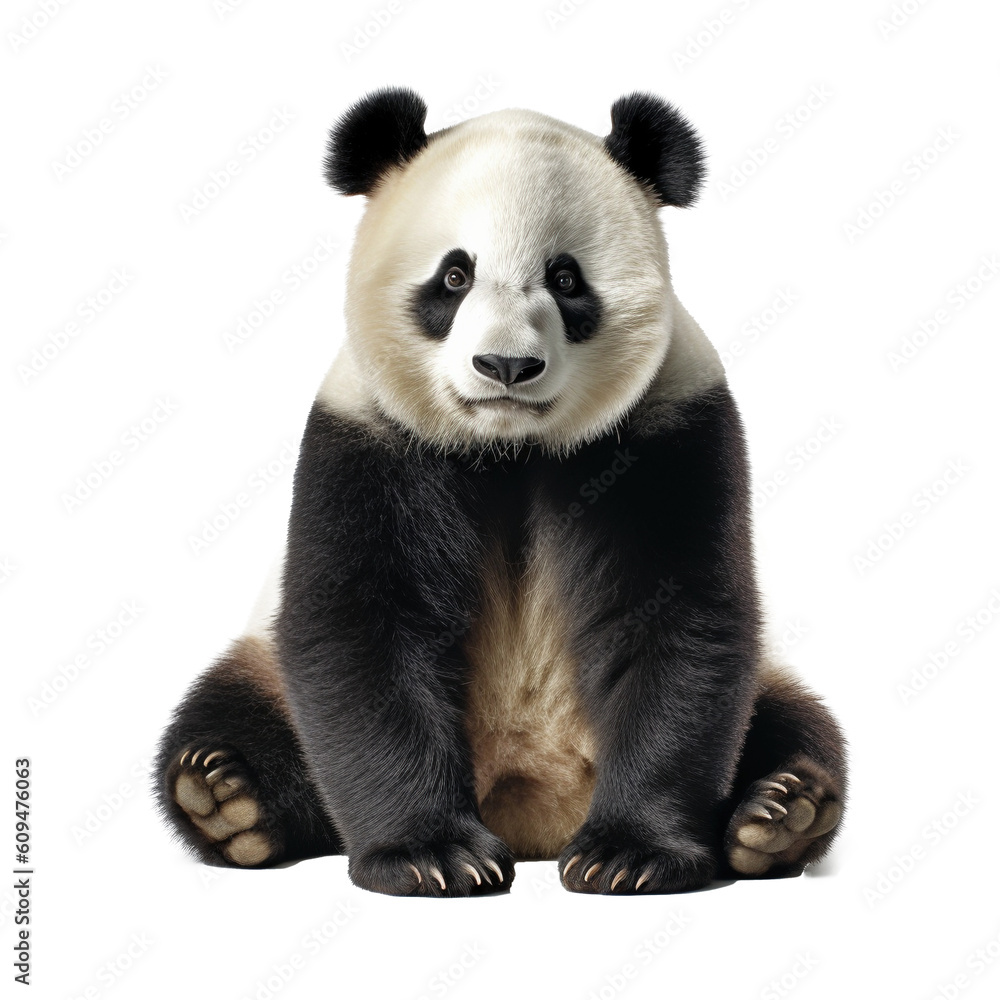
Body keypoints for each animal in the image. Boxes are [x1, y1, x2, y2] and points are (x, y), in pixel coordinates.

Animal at [155, 88, 847, 896]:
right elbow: (363, 624)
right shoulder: (367, 433)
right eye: (455, 277)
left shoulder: (671, 420)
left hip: (767, 680)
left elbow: (676, 618)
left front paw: (630, 854)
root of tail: (533, 808)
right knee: (230, 709)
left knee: (792, 720)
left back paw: (781, 813)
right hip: (258, 661)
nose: (506, 366)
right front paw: (431, 854)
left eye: (567, 279)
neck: (509, 447)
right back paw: (225, 799)